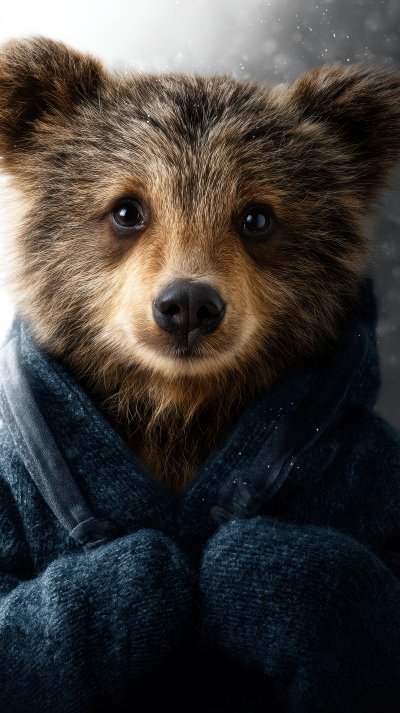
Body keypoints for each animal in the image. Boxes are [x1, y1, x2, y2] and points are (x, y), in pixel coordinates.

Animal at [0, 36, 399, 713]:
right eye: (127, 209)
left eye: (257, 217)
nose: (188, 304)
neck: (178, 410)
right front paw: (145, 573)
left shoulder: (368, 470)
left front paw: (249, 567)